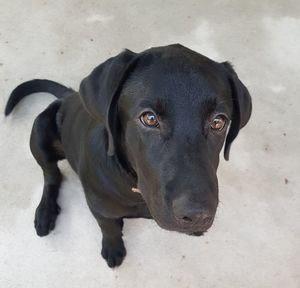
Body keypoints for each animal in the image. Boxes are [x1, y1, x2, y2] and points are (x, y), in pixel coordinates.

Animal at [5, 44, 252, 268]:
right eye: (149, 118)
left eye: (218, 122)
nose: (197, 216)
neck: (135, 188)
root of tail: (68, 95)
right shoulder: (98, 207)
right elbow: (108, 228)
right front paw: (113, 247)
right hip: (39, 130)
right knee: (51, 174)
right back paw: (45, 211)